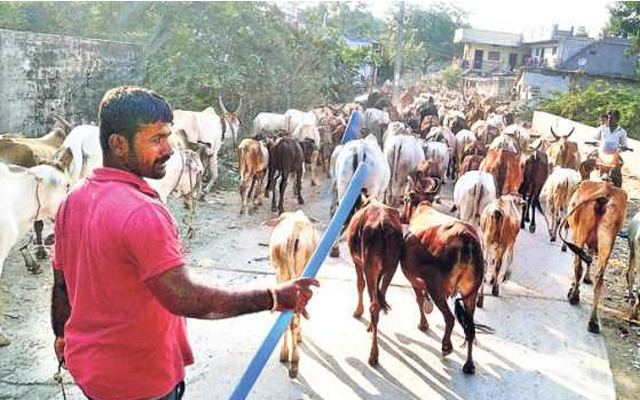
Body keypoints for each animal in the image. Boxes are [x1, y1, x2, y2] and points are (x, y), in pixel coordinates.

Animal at [348, 193, 402, 366]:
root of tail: (384, 223)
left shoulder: (357, 261)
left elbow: (360, 284)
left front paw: (358, 311)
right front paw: (371, 327)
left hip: (369, 266)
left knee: (374, 305)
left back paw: (373, 354)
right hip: (391, 267)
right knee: (379, 300)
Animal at [400, 186, 484, 374]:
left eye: (405, 199)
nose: (401, 217)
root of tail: (466, 238)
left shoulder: (413, 277)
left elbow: (419, 299)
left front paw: (423, 324)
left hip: (436, 288)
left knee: (450, 318)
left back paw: (446, 347)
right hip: (470, 293)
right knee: (470, 328)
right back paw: (469, 364)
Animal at [564, 180, 628, 332]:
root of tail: (606, 189)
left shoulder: (577, 236)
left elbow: (581, 262)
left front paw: (573, 288)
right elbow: (589, 258)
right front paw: (587, 279)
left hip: (580, 233)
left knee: (578, 267)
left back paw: (574, 296)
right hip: (607, 238)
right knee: (600, 278)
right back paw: (593, 321)